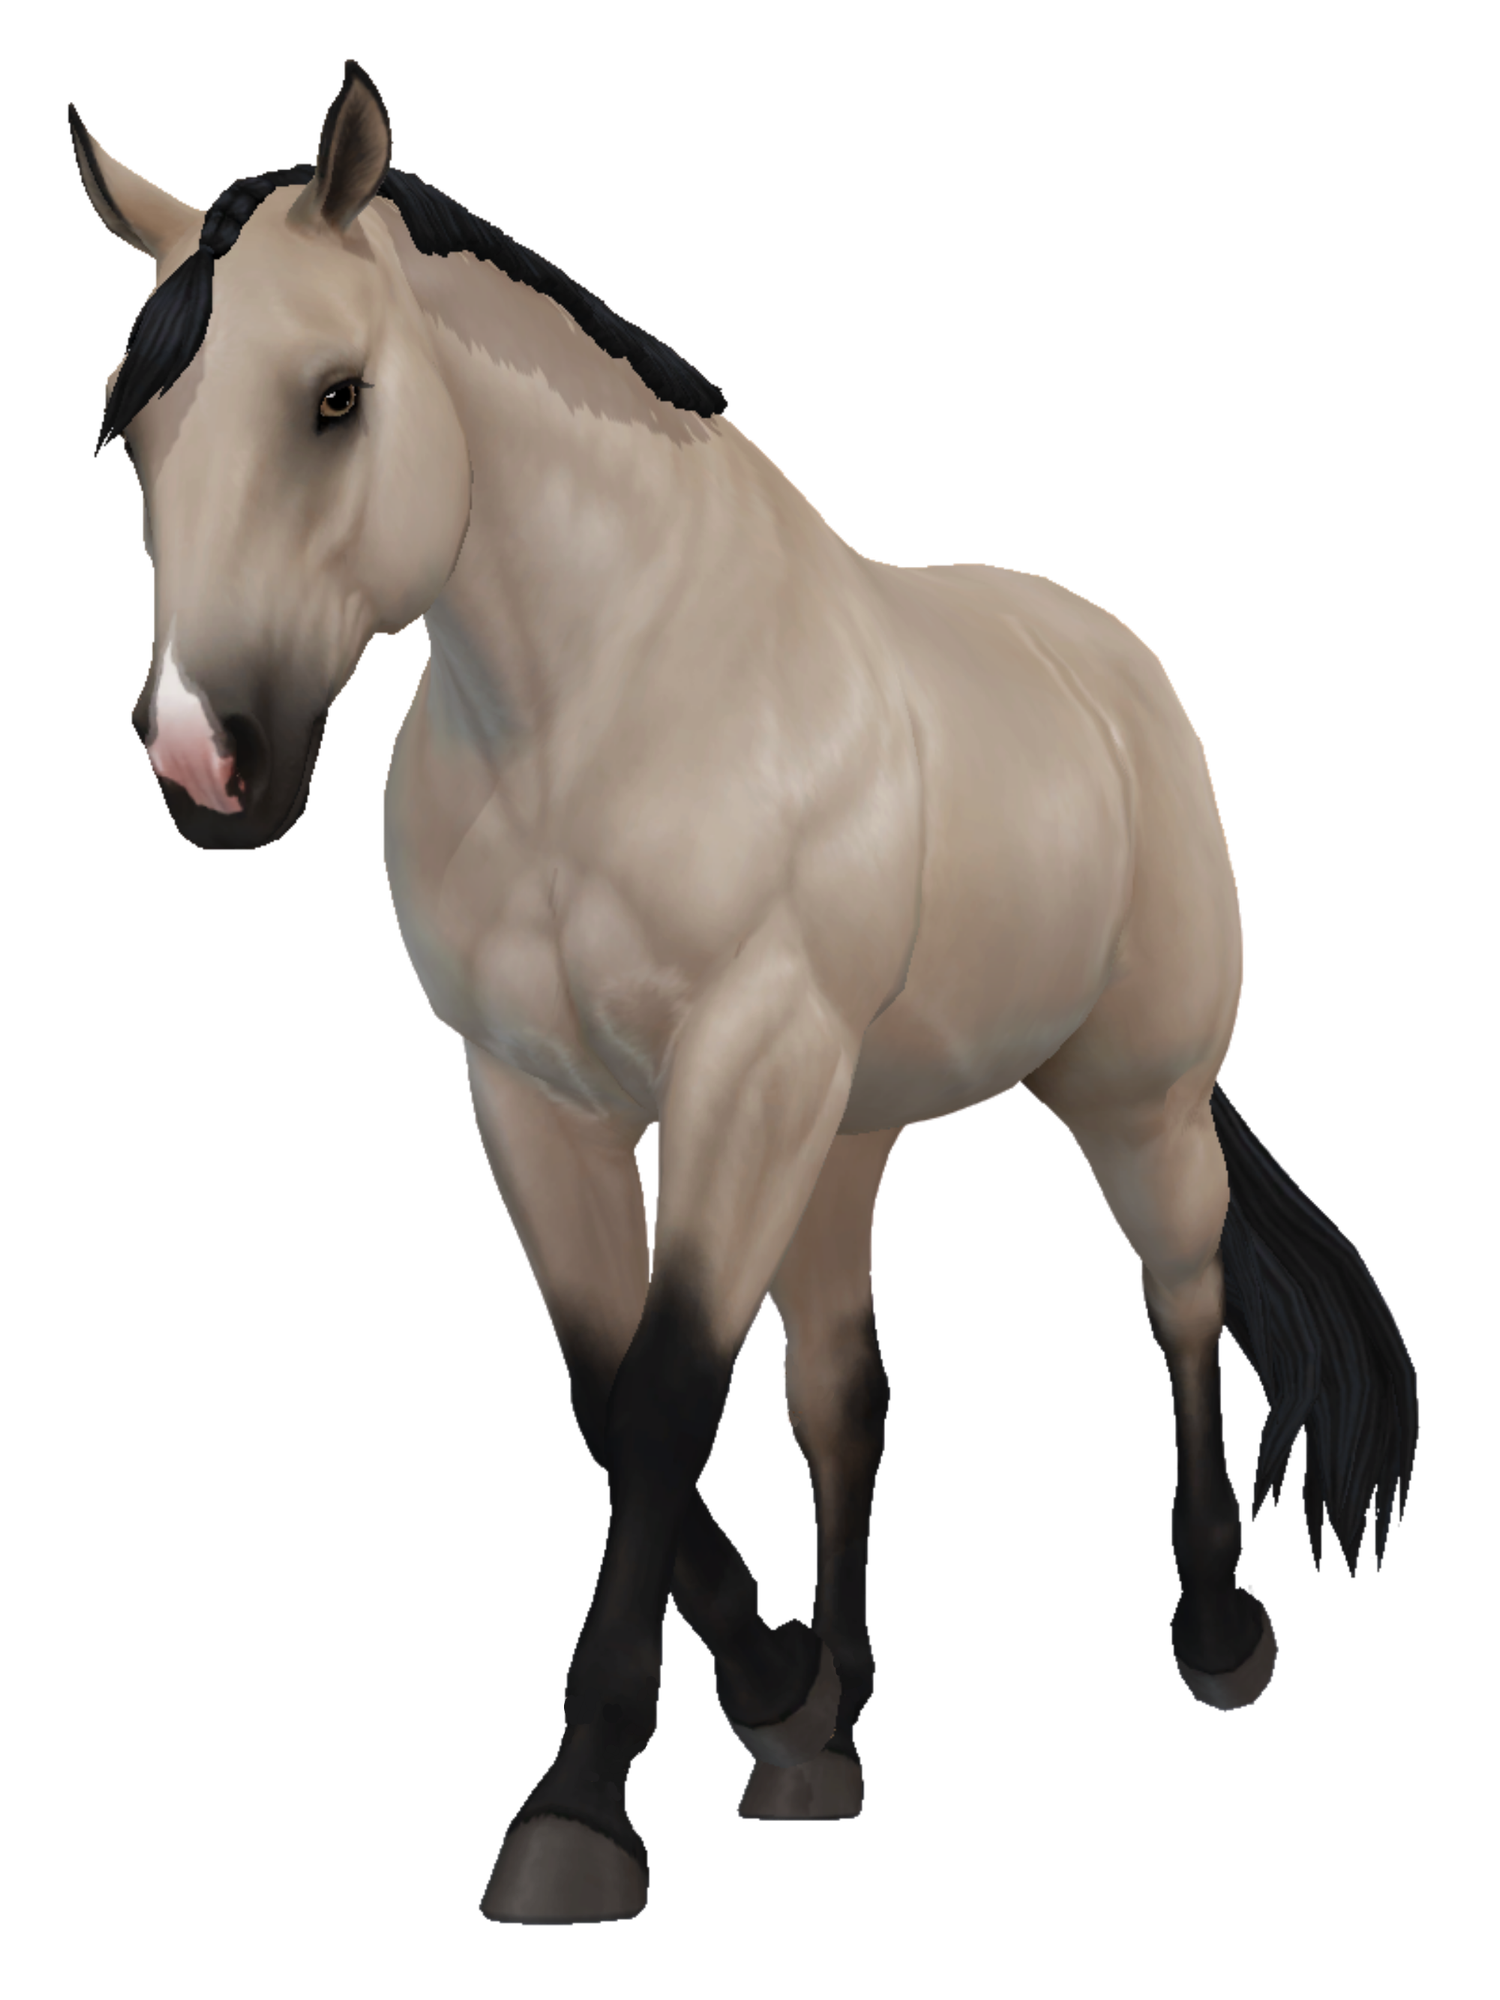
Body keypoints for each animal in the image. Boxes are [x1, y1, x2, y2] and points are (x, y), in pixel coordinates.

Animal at [73, 59, 1416, 1926]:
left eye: (336, 396)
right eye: (130, 427)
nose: (202, 758)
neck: (593, 711)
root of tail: (1110, 663)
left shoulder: (740, 1067)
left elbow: (662, 1394)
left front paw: (580, 1811)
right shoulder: (531, 1094)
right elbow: (611, 1388)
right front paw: (778, 1697)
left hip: (1130, 1099)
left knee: (1180, 1295)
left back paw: (1219, 1635)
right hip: (845, 1137)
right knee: (844, 1393)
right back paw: (830, 1727)